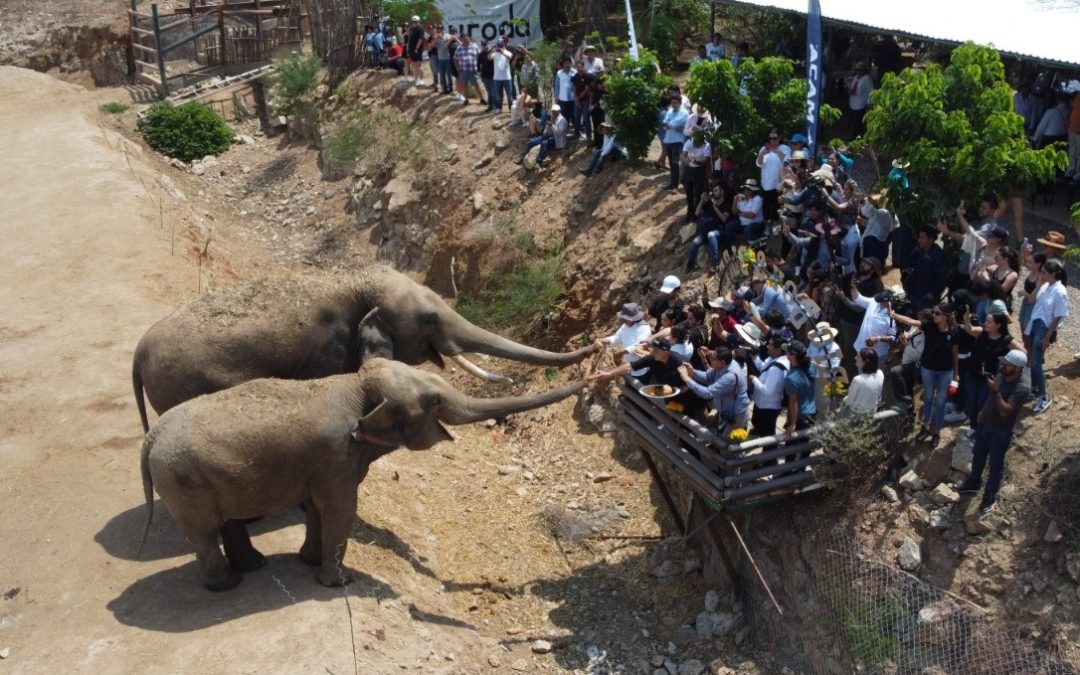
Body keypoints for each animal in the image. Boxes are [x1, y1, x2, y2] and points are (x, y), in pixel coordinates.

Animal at [141, 358, 591, 587]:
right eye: (432, 401)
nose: (594, 377)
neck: (356, 384)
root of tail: (150, 438)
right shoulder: (336, 455)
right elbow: (342, 510)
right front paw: (338, 583)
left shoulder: (323, 461)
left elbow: (318, 510)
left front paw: (308, 562)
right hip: (184, 483)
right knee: (204, 532)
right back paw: (228, 585)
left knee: (227, 521)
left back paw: (254, 569)